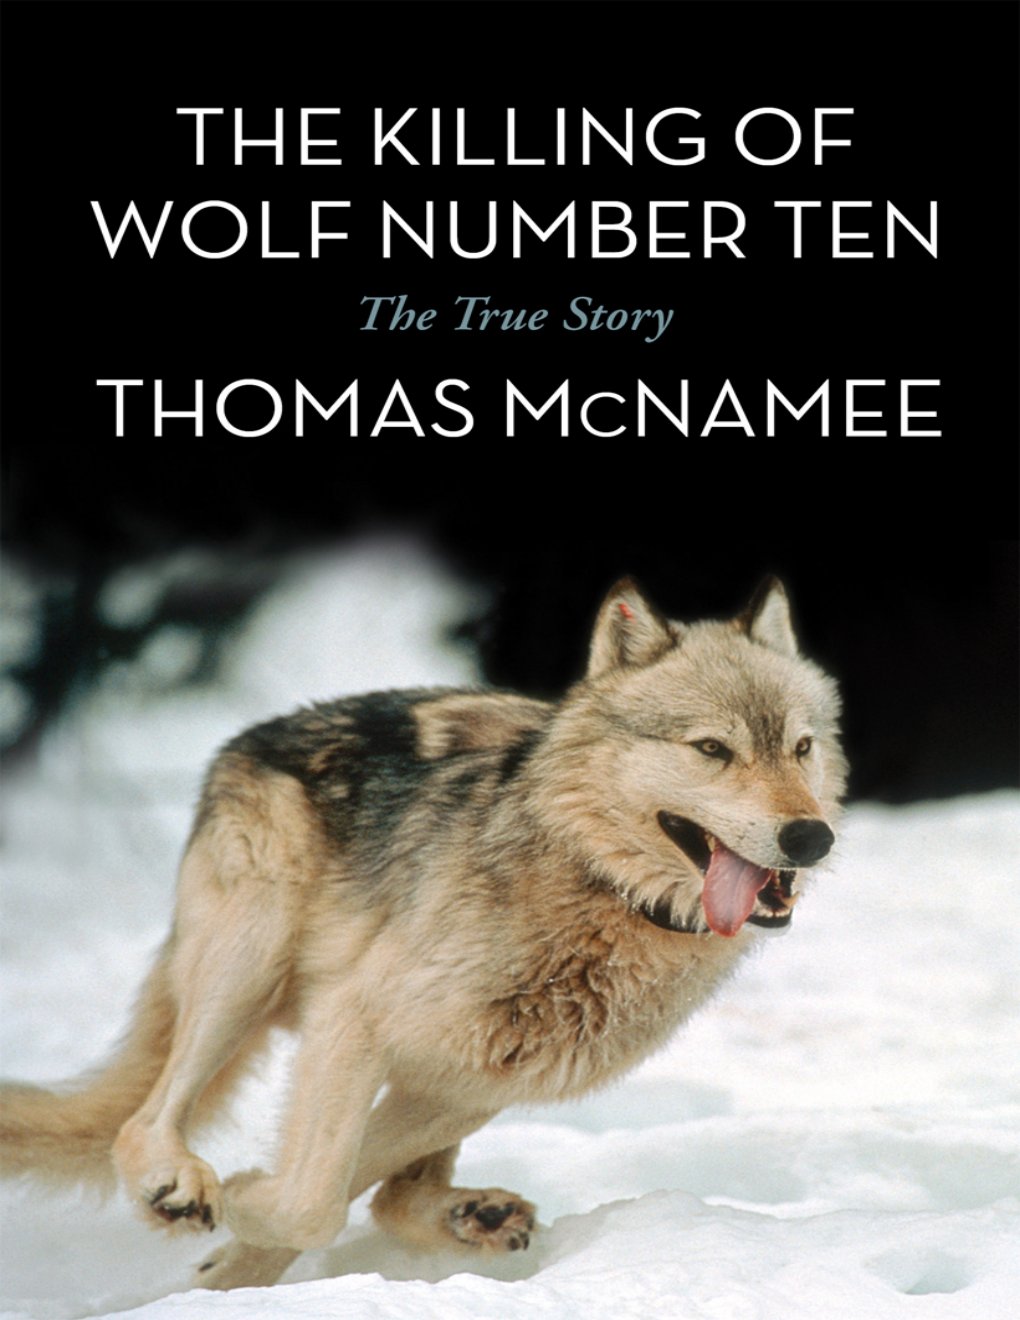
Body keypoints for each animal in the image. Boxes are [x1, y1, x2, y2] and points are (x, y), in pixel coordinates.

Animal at [1, 576, 845, 1291]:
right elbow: (312, 1201)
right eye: (712, 749)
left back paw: (468, 1217)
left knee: (386, 1191)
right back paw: (175, 1186)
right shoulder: (353, 1020)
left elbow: (334, 1193)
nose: (811, 837)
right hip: (249, 968)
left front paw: (234, 1244)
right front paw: (238, 1197)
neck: (594, 888)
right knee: (145, 1120)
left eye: (800, 747)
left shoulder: (463, 1078)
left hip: (445, 1072)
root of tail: (252, 736)